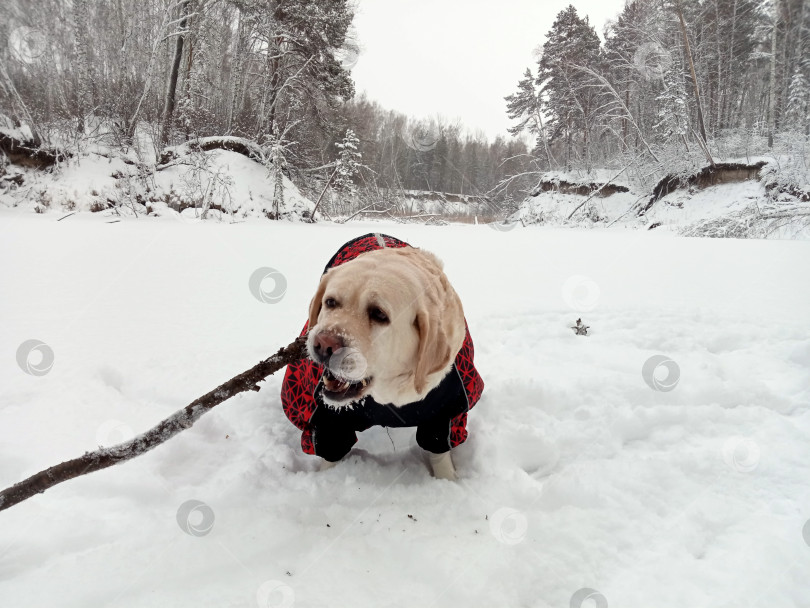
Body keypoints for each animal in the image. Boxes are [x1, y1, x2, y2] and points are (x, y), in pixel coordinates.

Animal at [280, 235, 480, 478]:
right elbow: (330, 452)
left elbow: (439, 450)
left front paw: (447, 480)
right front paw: (326, 479)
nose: (323, 345)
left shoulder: (447, 409)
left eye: (379, 314)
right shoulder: (327, 419)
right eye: (331, 302)